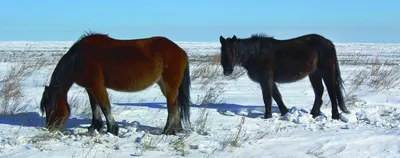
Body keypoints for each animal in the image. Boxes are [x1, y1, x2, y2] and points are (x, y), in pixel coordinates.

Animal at [40, 32, 192, 136]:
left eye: (51, 107)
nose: (50, 128)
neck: (78, 59)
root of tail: (180, 51)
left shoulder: (98, 86)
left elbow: (105, 107)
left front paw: (112, 129)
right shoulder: (90, 88)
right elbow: (95, 107)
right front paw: (94, 127)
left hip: (169, 86)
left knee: (172, 107)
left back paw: (167, 131)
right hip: (164, 85)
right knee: (175, 105)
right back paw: (176, 129)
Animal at [219, 33, 350, 119]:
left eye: (233, 50)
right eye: (222, 50)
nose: (227, 71)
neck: (256, 54)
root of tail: (329, 43)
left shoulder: (265, 80)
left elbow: (267, 98)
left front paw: (268, 116)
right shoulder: (270, 81)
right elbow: (277, 96)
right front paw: (285, 112)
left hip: (326, 72)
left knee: (331, 92)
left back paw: (335, 115)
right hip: (314, 74)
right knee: (319, 91)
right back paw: (314, 113)